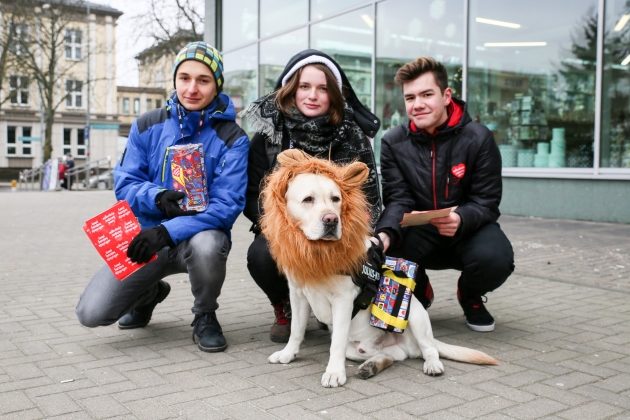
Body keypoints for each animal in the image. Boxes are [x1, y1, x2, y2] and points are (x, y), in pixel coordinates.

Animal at [262, 150, 498, 388]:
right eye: (308, 199)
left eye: (336, 199)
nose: (331, 220)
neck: (319, 254)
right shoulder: (298, 294)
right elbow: (296, 330)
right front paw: (288, 354)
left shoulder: (343, 300)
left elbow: (335, 343)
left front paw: (334, 372)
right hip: (357, 349)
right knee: (394, 355)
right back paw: (371, 366)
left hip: (415, 314)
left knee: (429, 348)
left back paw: (432, 364)